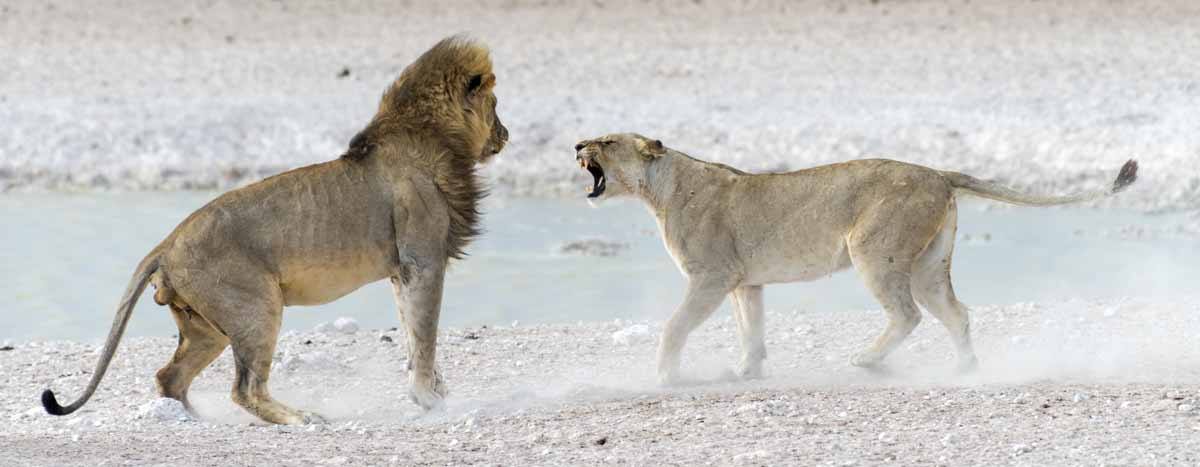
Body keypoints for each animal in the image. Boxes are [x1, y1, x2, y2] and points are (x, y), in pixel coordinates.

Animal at [42, 35, 508, 422]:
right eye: (496, 104)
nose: (505, 134)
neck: (434, 134)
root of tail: (167, 243)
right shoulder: (422, 260)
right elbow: (425, 333)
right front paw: (429, 399)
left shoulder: (402, 271)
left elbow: (411, 331)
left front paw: (434, 391)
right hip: (257, 307)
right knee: (244, 388)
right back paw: (302, 418)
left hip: (205, 328)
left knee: (169, 377)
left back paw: (193, 421)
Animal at [576, 132, 1137, 384]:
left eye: (607, 141)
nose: (578, 145)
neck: (661, 188)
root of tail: (937, 172)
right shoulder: (744, 281)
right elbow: (751, 329)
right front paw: (746, 371)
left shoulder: (711, 276)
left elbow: (674, 326)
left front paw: (666, 375)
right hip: (930, 265)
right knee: (956, 313)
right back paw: (965, 368)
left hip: (874, 250)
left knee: (907, 314)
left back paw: (866, 360)